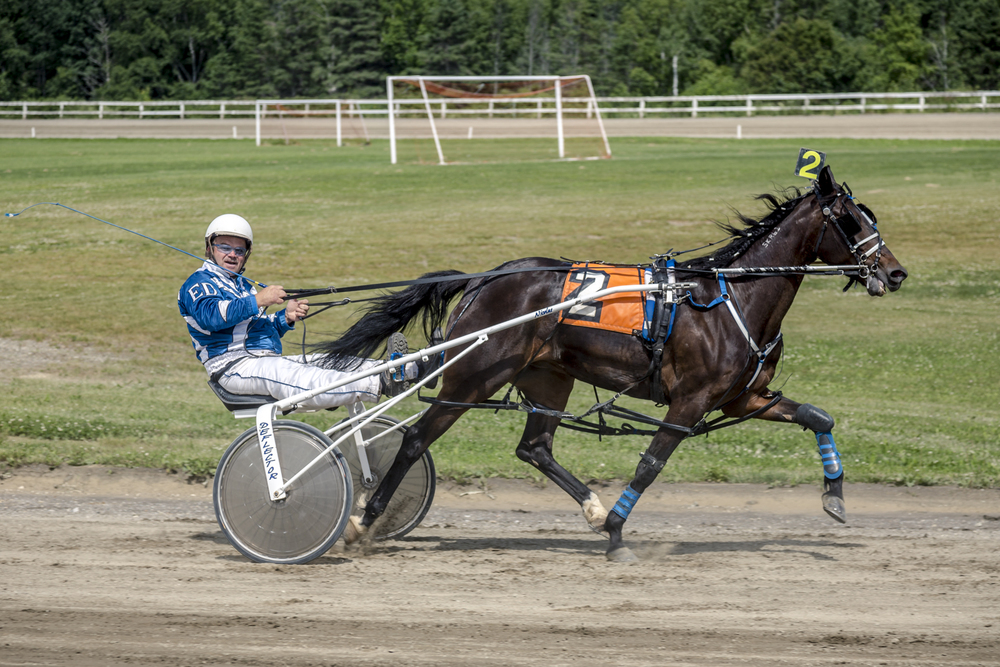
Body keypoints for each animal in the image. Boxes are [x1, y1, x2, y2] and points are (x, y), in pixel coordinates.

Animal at [316, 164, 912, 560]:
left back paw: (593, 508)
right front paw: (620, 533)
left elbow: (817, 417)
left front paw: (835, 497)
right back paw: (364, 522)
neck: (733, 300)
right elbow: (650, 465)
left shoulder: (744, 397)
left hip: (548, 377)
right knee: (418, 439)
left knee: (535, 447)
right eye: (853, 221)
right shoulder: (690, 399)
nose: (896, 272)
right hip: (475, 374)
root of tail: (486, 278)